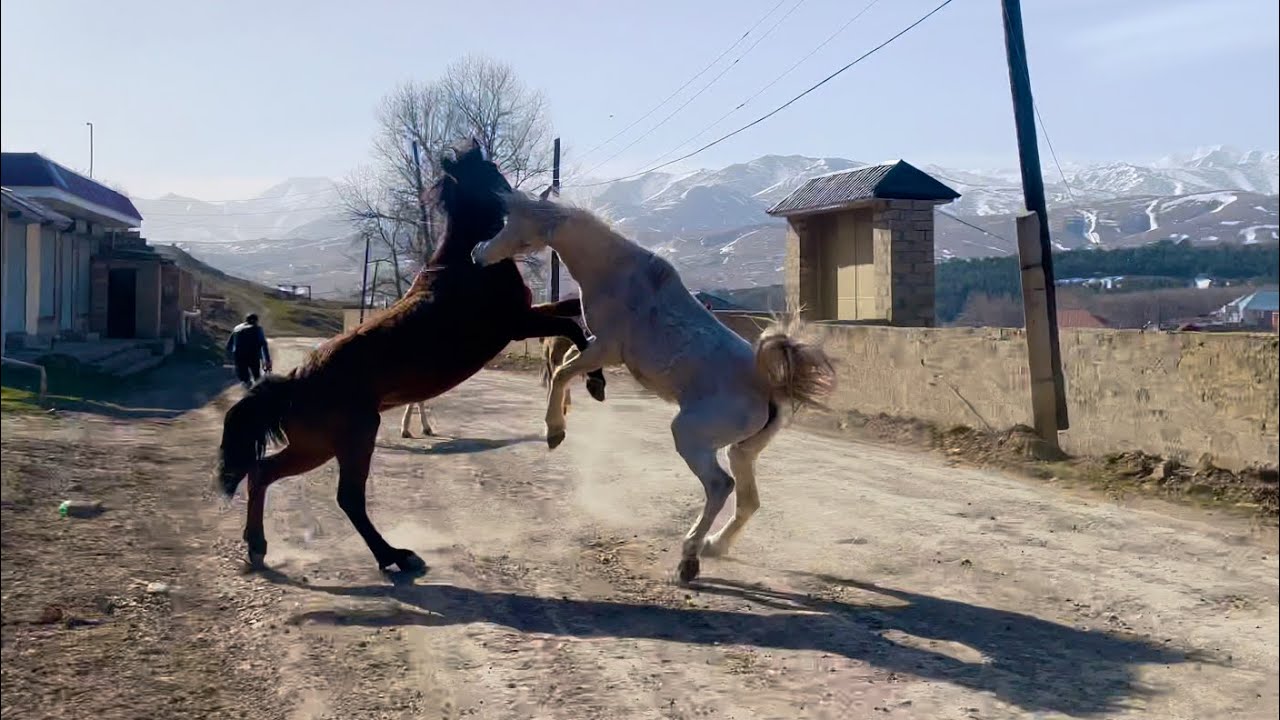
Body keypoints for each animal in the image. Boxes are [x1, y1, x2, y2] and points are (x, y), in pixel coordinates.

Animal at [218, 140, 609, 571]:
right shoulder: (514, 324)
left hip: (314, 446)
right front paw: (595, 383)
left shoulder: (524, 316)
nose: (524, 202)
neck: (467, 264)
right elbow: (571, 325)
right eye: (489, 171)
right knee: (346, 497)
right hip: (347, 439)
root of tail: (293, 385)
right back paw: (395, 557)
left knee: (261, 473)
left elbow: (572, 310)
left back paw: (258, 546)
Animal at [476, 189, 834, 584]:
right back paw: (713, 546)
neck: (619, 274)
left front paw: (555, 430)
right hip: (741, 450)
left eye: (515, 226)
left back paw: (689, 558)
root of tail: (768, 386)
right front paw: (587, 393)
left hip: (691, 437)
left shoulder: (607, 347)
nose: (479, 253)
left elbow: (563, 371)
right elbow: (567, 361)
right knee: (748, 500)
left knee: (719, 486)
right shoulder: (597, 345)